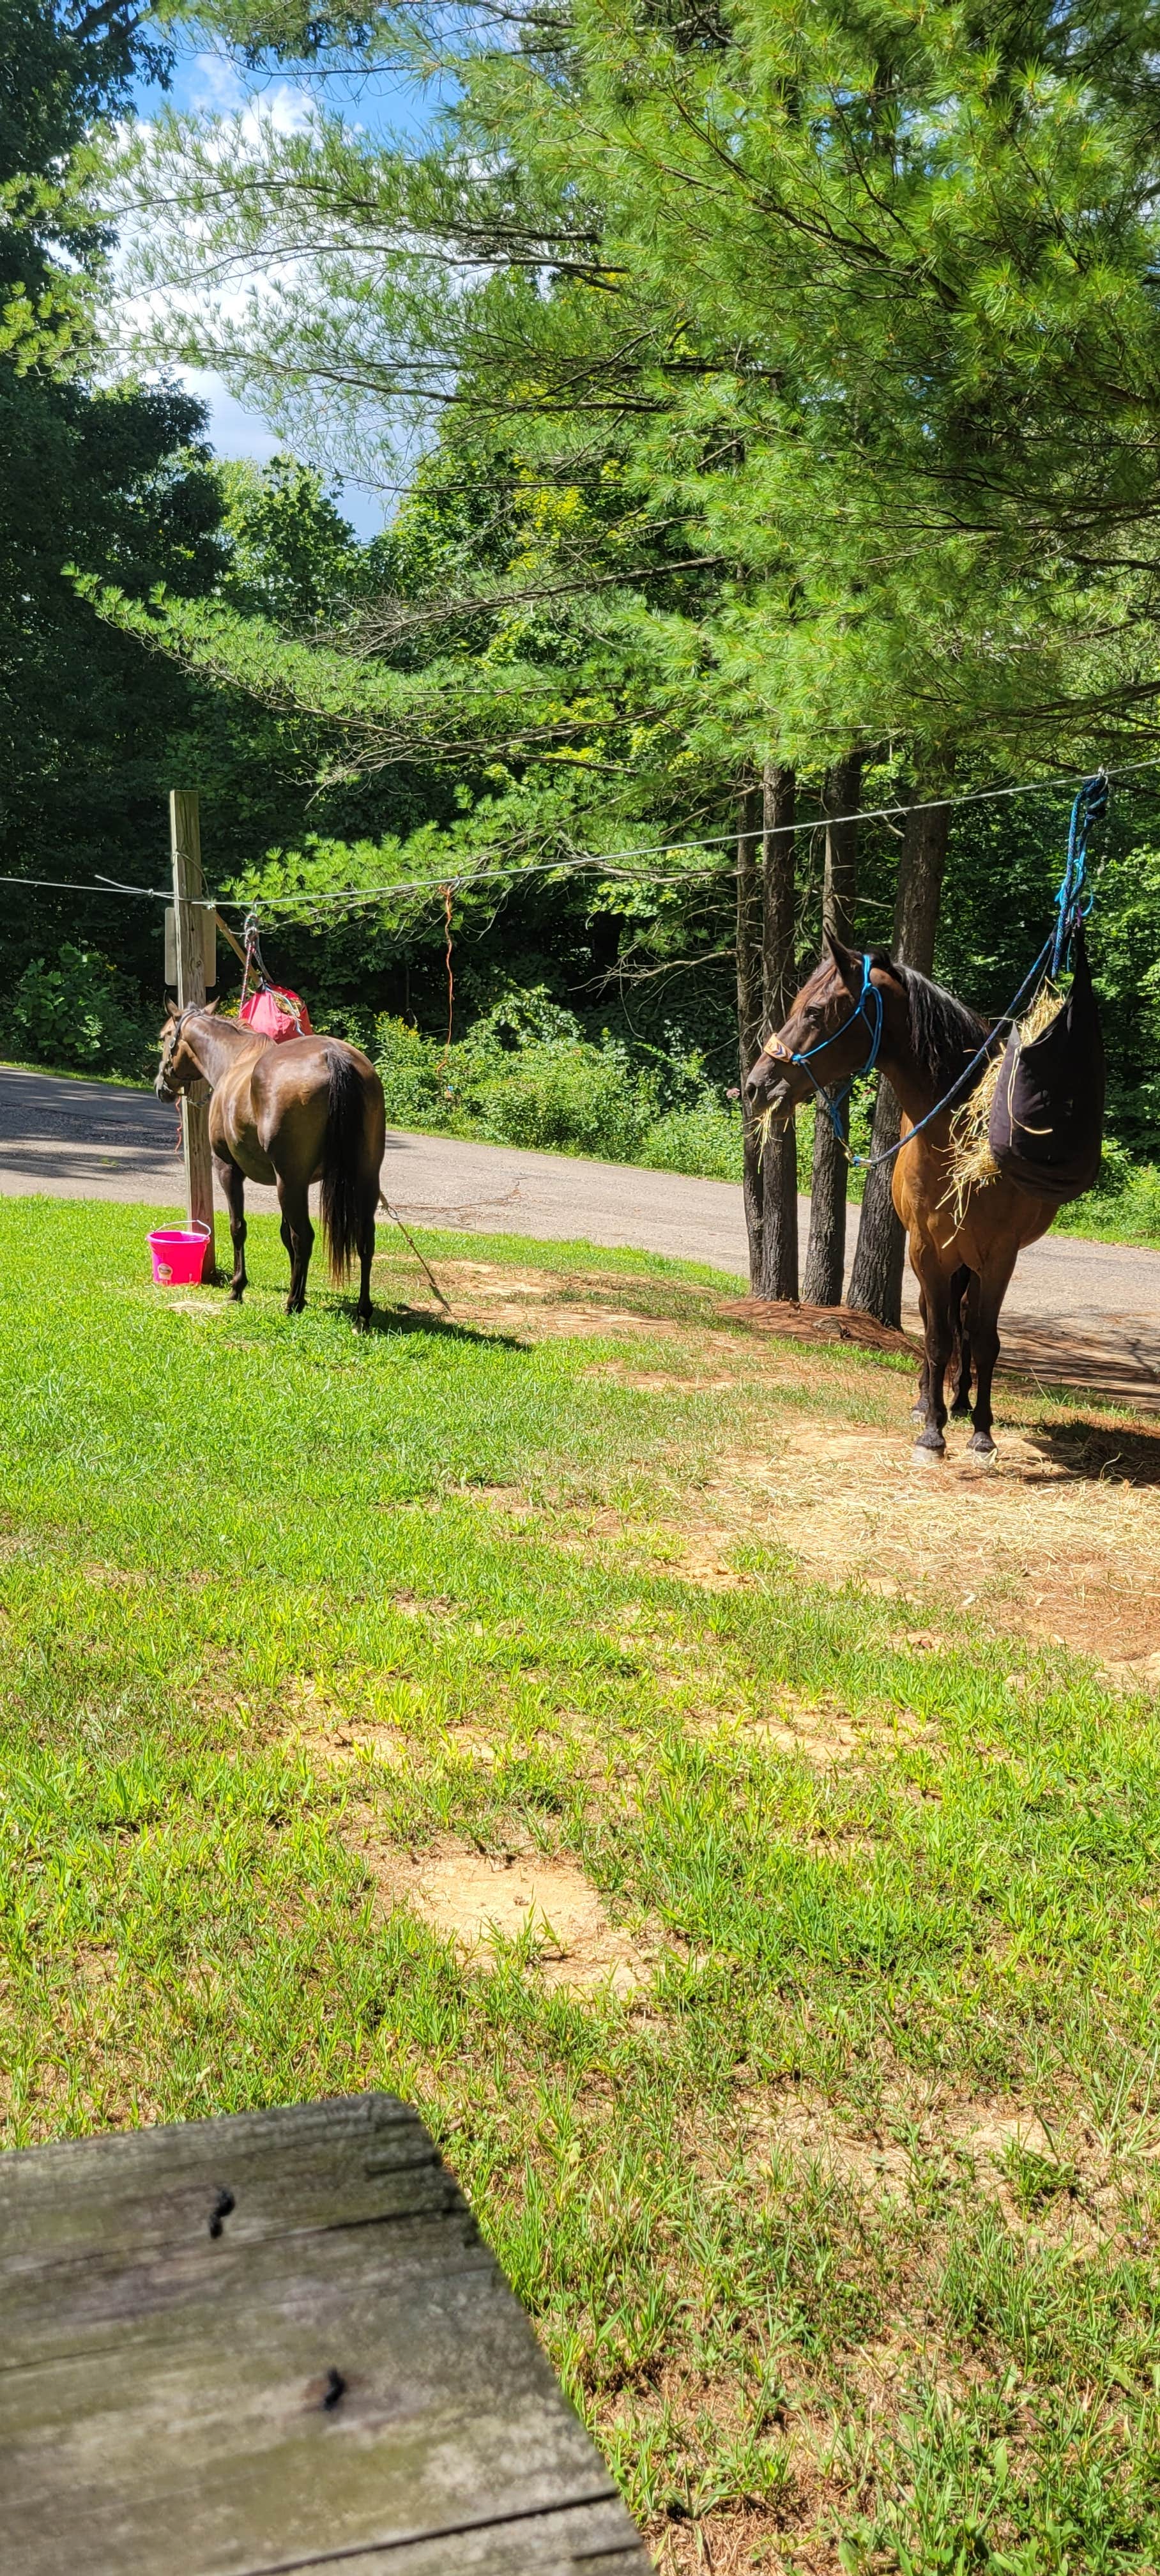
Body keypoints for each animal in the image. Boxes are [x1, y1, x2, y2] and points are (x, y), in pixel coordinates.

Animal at [156, 1004, 387, 1327]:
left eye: (165, 1037)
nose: (161, 1088)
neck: (233, 1060)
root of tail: (332, 1056)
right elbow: (284, 1235)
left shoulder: (228, 1170)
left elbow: (239, 1227)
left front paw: (238, 1288)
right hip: (363, 1178)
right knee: (364, 1239)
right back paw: (362, 1314)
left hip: (290, 1181)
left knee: (304, 1236)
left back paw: (292, 1304)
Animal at [744, 931, 1062, 1454]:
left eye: (814, 1012)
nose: (756, 1087)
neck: (958, 1141)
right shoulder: (927, 1251)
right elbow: (936, 1337)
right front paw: (932, 1429)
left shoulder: (999, 1257)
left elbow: (984, 1339)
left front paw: (981, 1433)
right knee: (941, 1323)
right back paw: (932, 1400)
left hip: (971, 1262)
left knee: (966, 1325)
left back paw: (963, 1401)